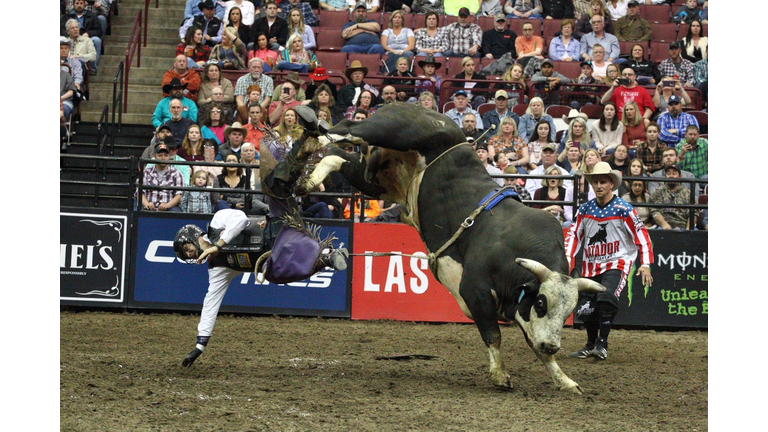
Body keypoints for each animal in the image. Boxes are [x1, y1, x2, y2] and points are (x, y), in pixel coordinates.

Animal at [296, 103, 604, 394]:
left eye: (569, 310)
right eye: (541, 302)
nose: (553, 345)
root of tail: (421, 109)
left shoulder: (522, 311)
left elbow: (537, 349)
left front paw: (564, 380)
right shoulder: (475, 290)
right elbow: (493, 335)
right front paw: (500, 375)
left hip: (378, 180)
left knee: (339, 157)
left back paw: (308, 180)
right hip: (393, 130)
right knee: (345, 129)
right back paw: (310, 136)